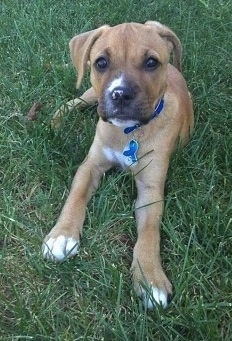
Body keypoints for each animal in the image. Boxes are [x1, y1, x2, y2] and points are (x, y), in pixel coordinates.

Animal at [42, 21, 194, 308]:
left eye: (151, 62)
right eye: (101, 62)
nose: (120, 94)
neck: (128, 132)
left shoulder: (151, 187)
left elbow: (150, 229)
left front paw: (150, 277)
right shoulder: (90, 166)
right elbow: (76, 196)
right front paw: (62, 235)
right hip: (91, 94)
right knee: (72, 102)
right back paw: (53, 123)